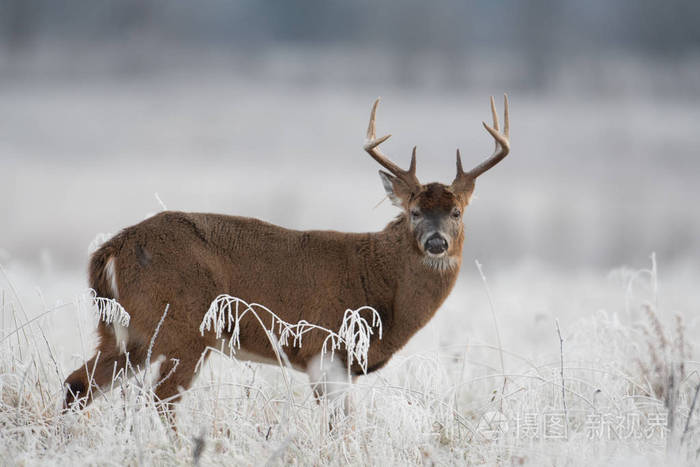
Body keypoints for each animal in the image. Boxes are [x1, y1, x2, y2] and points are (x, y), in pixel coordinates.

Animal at [64, 95, 511, 421]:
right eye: (415, 211)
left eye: (457, 212)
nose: (436, 242)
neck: (381, 285)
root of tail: (112, 248)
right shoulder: (325, 347)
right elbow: (340, 424)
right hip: (183, 326)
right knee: (160, 401)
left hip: (125, 331)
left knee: (78, 384)